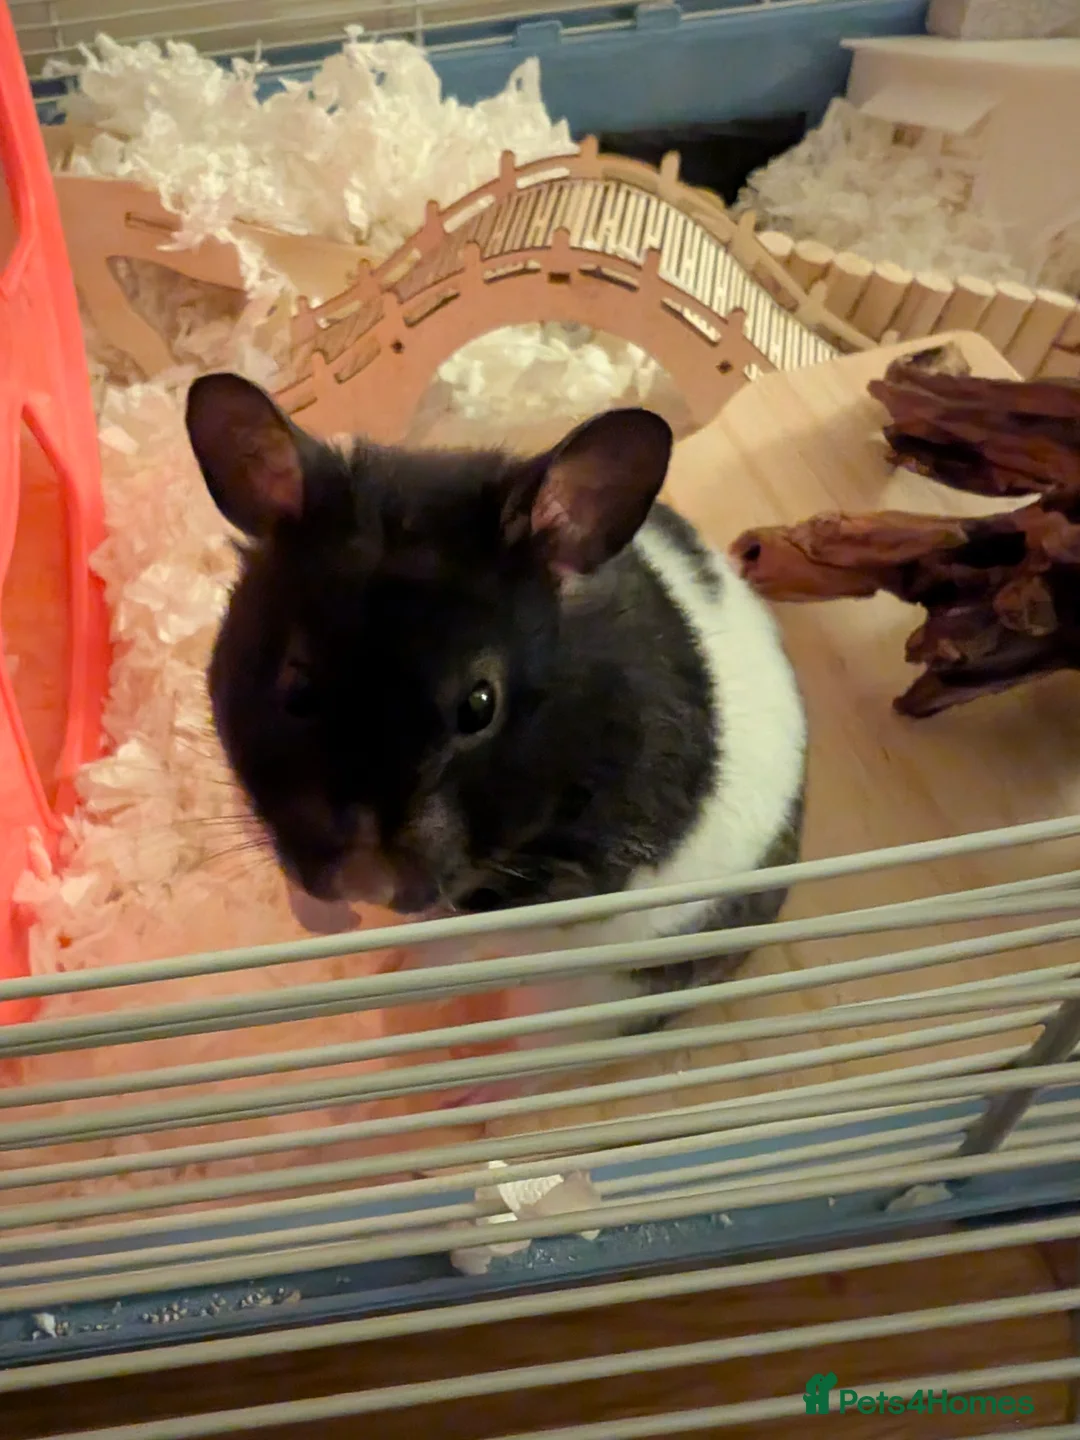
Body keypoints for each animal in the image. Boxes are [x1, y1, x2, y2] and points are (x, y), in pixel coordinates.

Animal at [185, 373, 806, 1039]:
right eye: (296, 691)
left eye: (480, 706)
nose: (365, 884)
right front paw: (331, 923)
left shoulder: (570, 879)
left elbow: (464, 924)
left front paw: (393, 959)